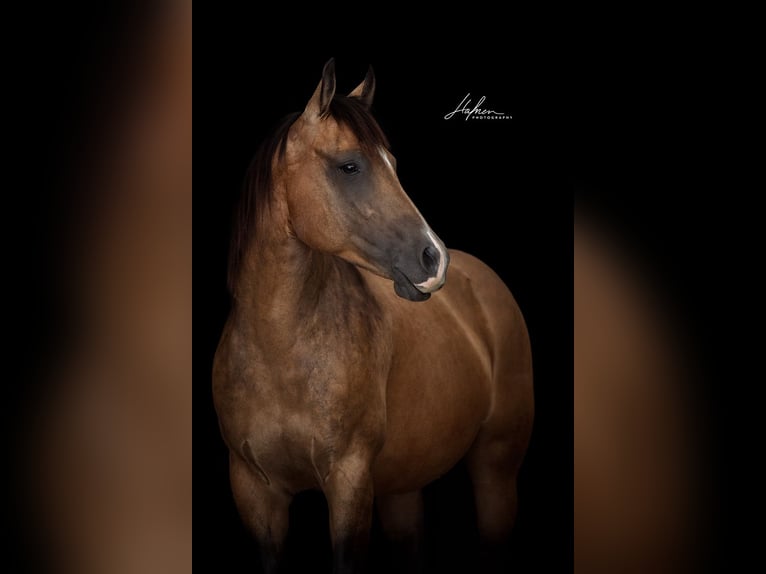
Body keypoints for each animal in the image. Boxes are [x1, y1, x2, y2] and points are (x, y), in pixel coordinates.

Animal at [213, 59, 534, 574]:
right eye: (349, 165)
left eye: (393, 165)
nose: (433, 258)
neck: (278, 355)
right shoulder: (255, 493)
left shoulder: (348, 484)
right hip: (403, 487)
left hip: (496, 470)